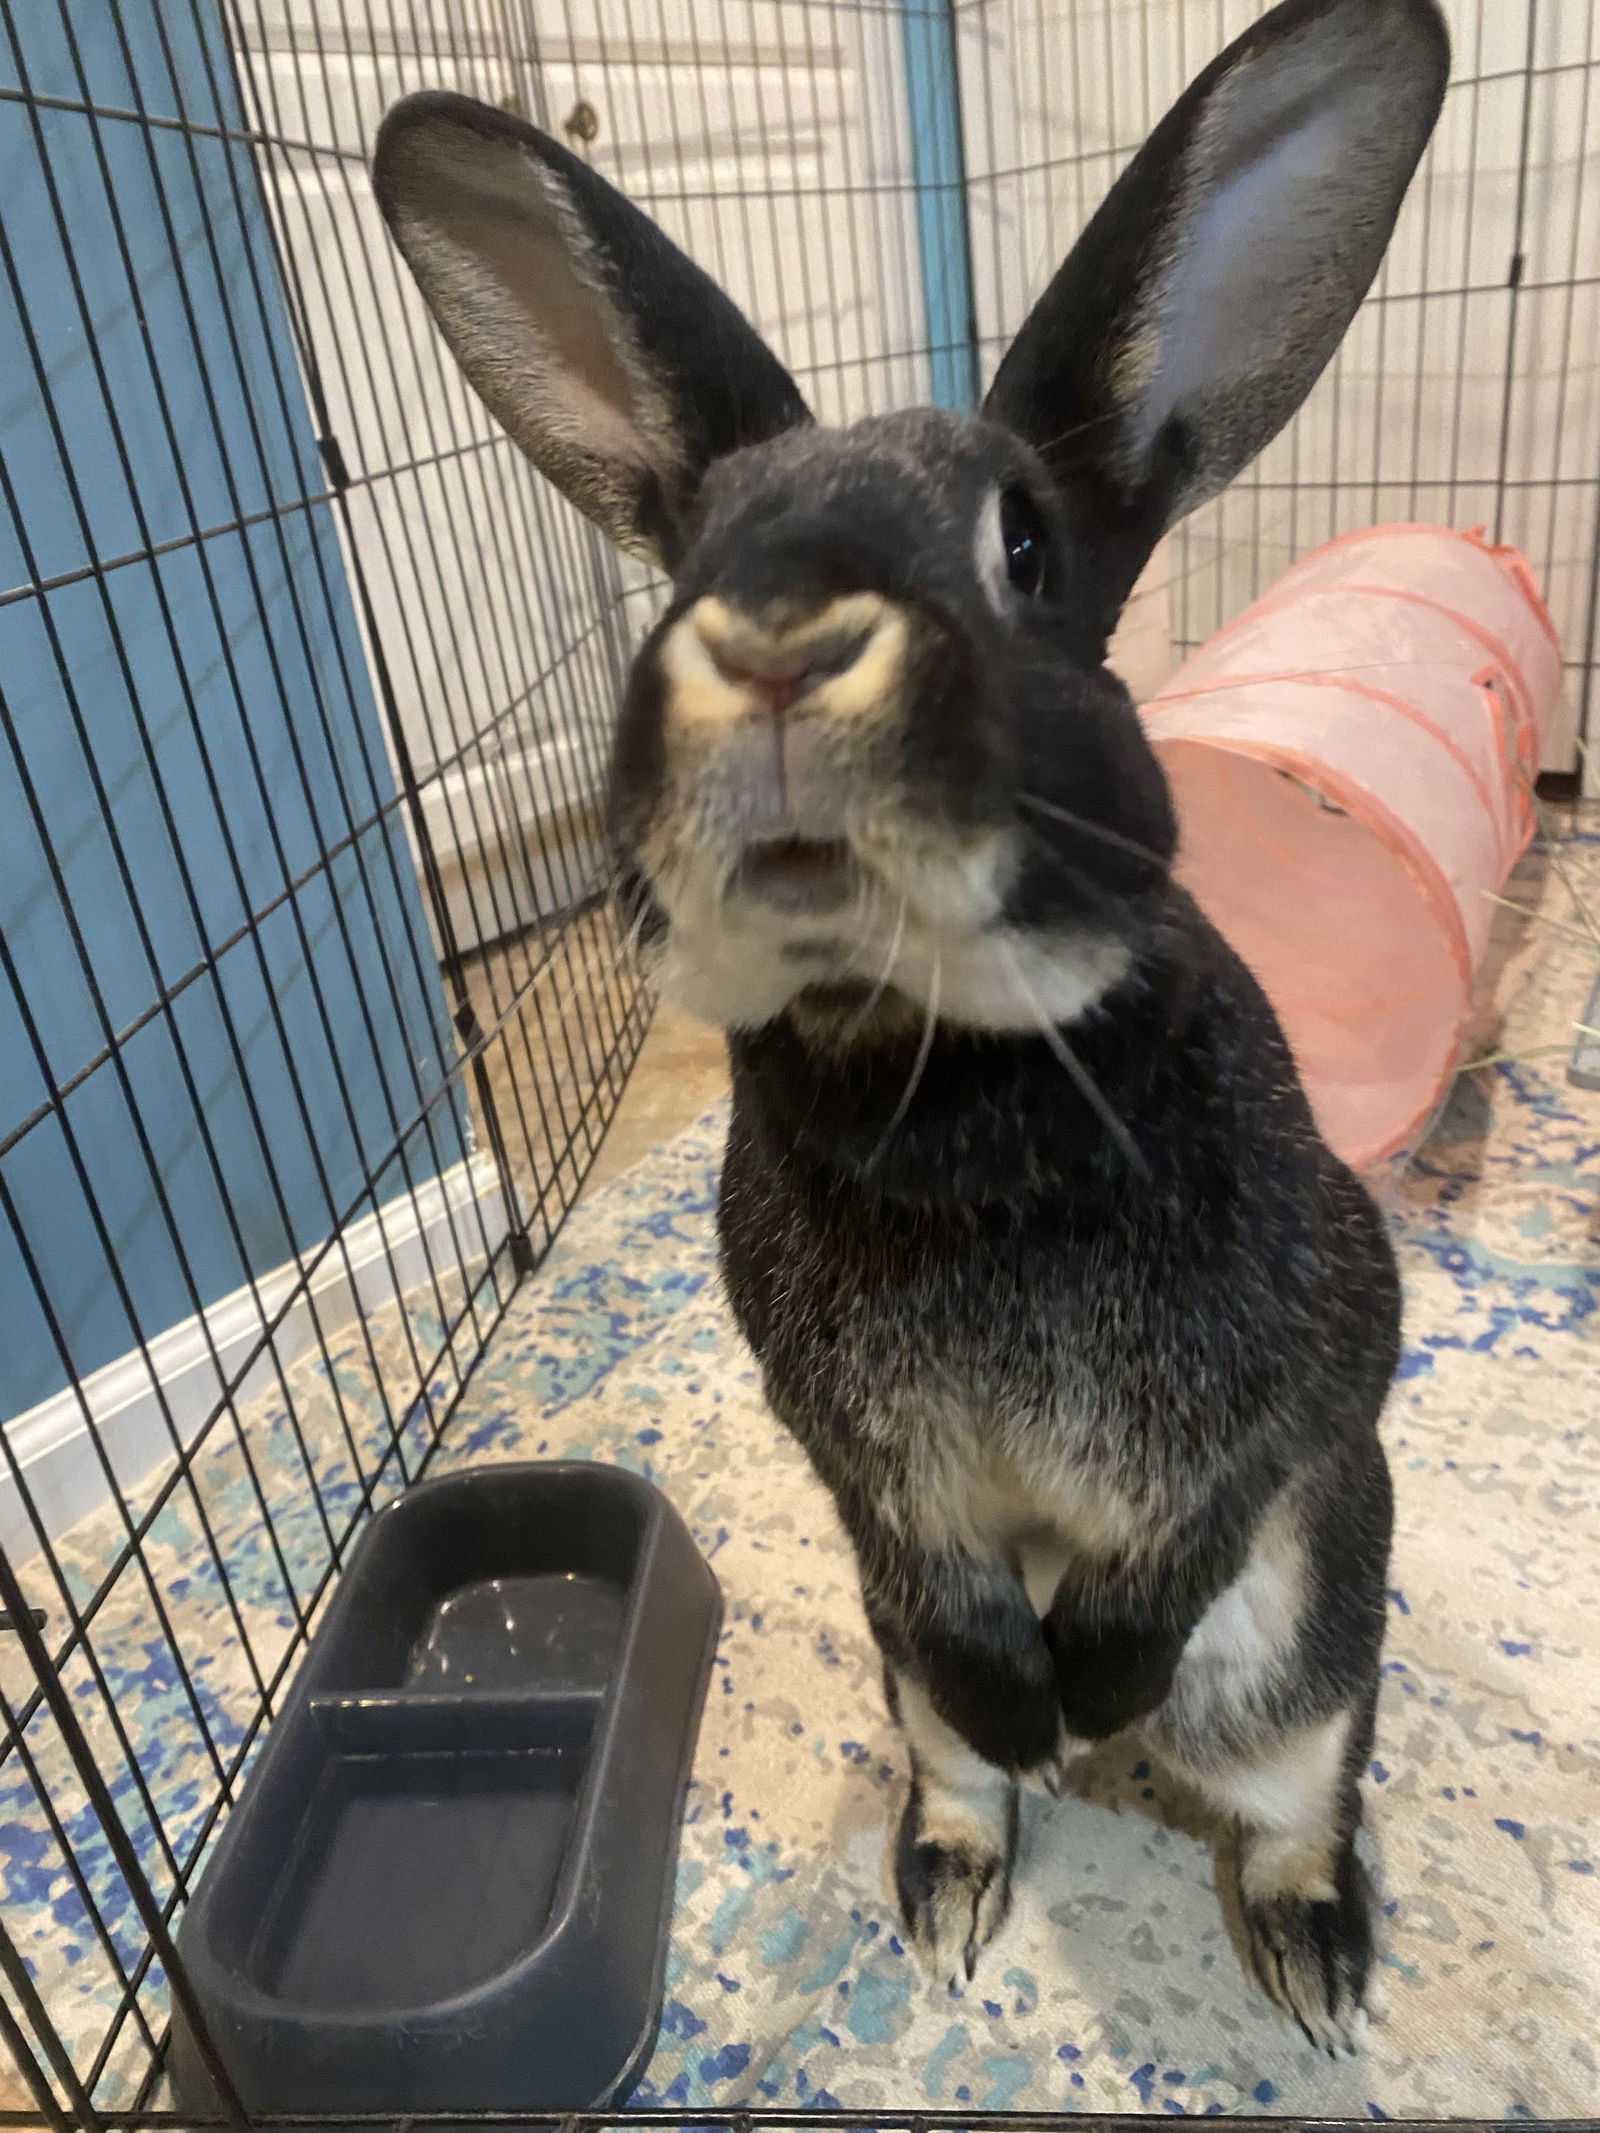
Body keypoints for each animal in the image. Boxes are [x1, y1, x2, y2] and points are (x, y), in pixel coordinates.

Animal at [375, 0, 1450, 2056]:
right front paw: (1039, 1717)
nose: (778, 638)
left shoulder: (1274, 1401)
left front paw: (1090, 1693)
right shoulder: (877, 1489)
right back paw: (968, 1866)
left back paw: (1301, 1951)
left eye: (1023, 549)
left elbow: (1179, 1544)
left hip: (1313, 1645)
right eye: (690, 559)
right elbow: (955, 1606)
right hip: (902, 1676)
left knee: (1303, 1790)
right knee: (948, 1753)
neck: (932, 1058)